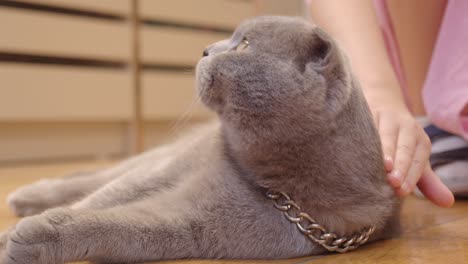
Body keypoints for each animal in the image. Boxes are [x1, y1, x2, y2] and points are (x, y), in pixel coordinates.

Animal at [1, 17, 400, 264]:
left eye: (245, 45)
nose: (206, 49)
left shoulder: (194, 223)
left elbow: (123, 226)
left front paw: (28, 237)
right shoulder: (165, 172)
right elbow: (105, 198)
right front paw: (10, 237)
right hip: (161, 156)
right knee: (99, 177)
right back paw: (28, 195)